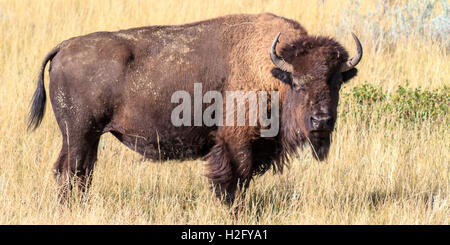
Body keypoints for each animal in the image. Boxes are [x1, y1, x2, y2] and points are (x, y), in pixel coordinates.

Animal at [28, 12, 362, 203]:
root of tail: (65, 46)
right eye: (299, 82)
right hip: (80, 134)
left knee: (76, 173)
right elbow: (233, 180)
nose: (321, 120)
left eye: (336, 82)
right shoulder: (235, 142)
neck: (273, 71)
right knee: (71, 172)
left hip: (85, 137)